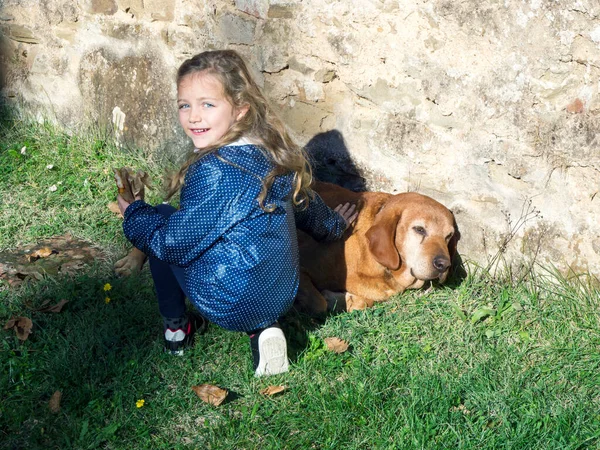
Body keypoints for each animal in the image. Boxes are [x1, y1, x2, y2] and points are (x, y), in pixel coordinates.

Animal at [296, 181, 460, 314]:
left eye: (448, 236)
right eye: (419, 229)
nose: (444, 265)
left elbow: (364, 302)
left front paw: (342, 299)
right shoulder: (301, 269)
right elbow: (319, 303)